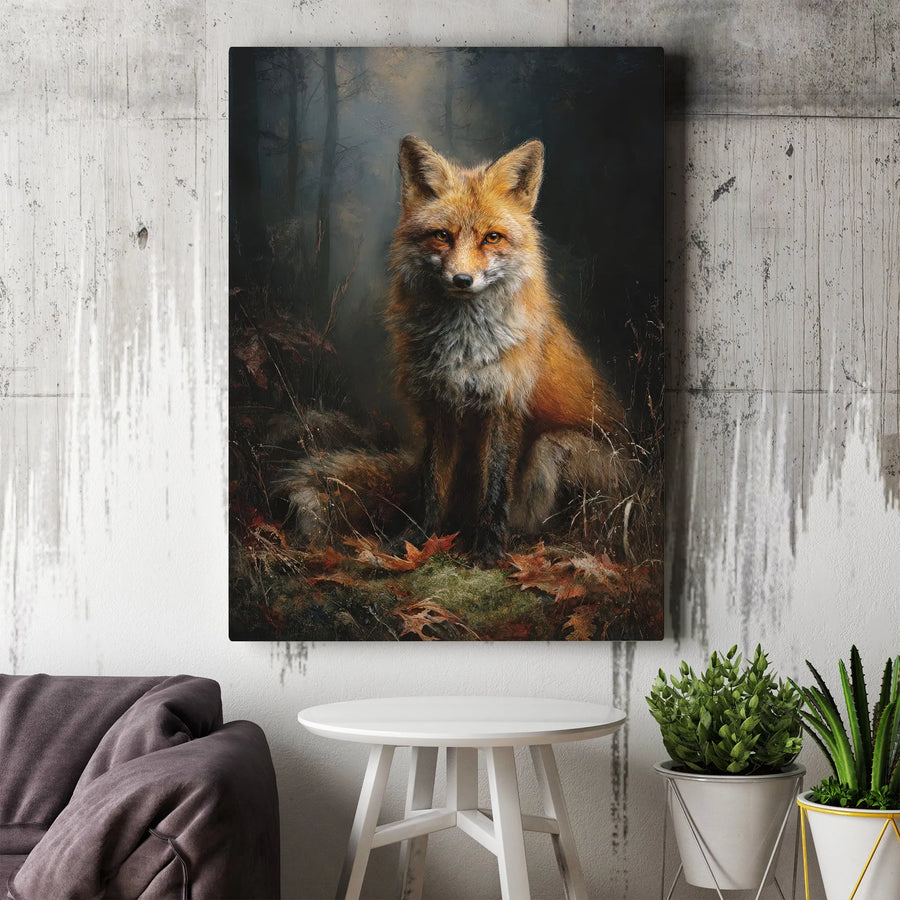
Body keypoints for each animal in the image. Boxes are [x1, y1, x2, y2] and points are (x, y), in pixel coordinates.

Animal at [385, 135, 632, 557]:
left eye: (492, 237)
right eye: (442, 235)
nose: (462, 279)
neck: (464, 347)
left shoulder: (505, 405)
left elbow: (496, 490)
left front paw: (487, 551)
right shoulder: (440, 406)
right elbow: (433, 484)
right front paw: (419, 540)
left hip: (555, 448)